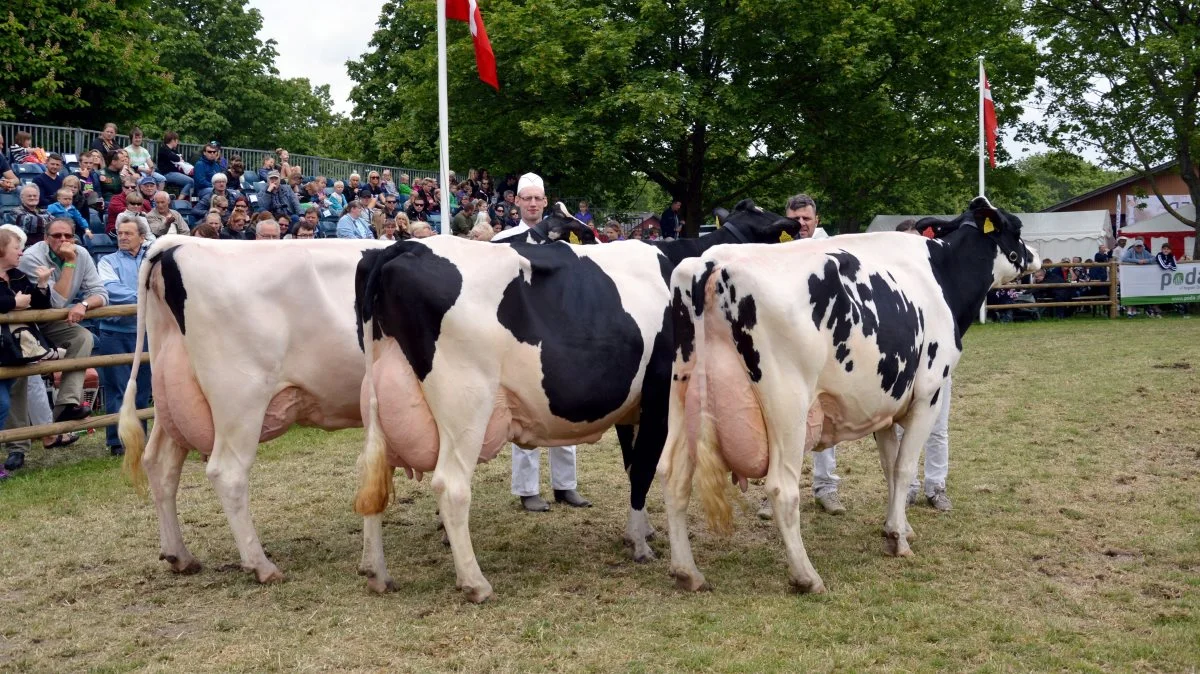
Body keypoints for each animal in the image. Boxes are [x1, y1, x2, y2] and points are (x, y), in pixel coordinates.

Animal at [350, 196, 796, 594]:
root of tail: (401, 247)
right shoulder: (657, 398)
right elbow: (643, 470)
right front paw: (639, 543)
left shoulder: (631, 407)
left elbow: (632, 466)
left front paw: (643, 531)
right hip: (466, 401)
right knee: (450, 485)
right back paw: (475, 582)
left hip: (379, 399)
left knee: (373, 474)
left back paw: (376, 572)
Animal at [657, 196, 1041, 590]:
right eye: (1016, 227)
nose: (1036, 256)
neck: (940, 276)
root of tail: (713, 263)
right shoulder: (927, 393)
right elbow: (904, 468)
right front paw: (899, 539)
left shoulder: (885, 404)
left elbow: (889, 468)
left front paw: (898, 526)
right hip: (787, 407)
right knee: (781, 487)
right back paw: (807, 576)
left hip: (683, 397)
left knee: (673, 477)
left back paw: (687, 571)